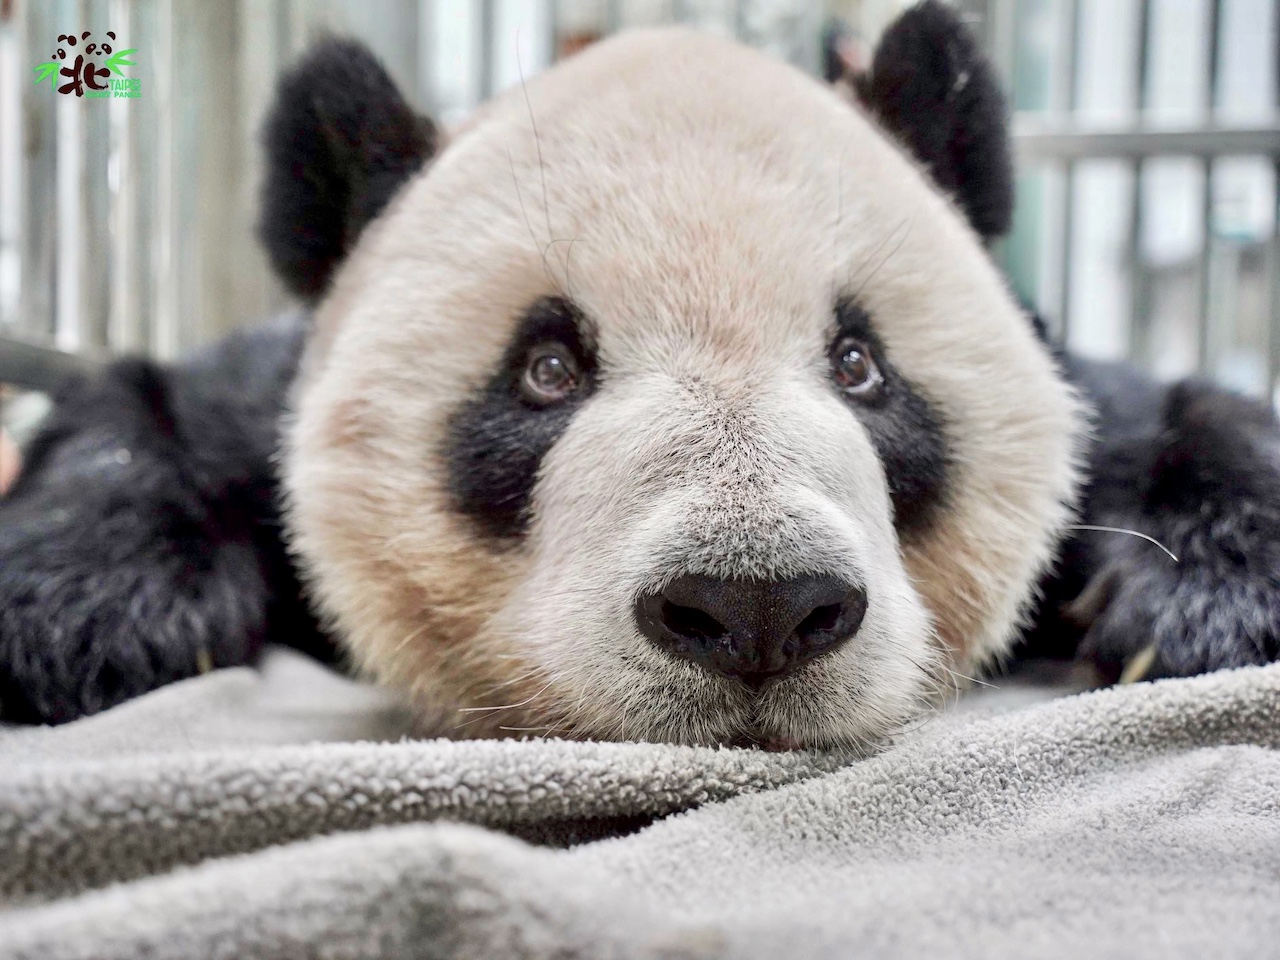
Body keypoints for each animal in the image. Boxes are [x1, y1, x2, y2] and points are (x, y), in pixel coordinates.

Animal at [1, 2, 1277, 747]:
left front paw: (1204, 608)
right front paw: (83, 621)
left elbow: (1181, 415)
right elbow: (149, 410)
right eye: (545, 369)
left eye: (858, 363)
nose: (757, 607)